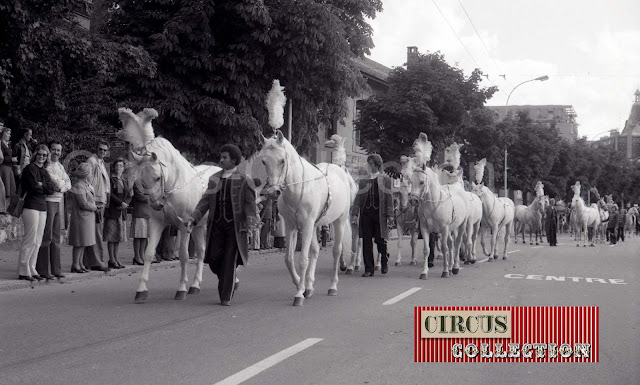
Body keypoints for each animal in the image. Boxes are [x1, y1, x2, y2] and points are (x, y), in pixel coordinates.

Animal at [117, 107, 220, 300]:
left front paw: (181, 289)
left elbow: (184, 255)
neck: (174, 187)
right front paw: (141, 290)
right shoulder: (158, 223)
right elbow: (149, 253)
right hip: (199, 226)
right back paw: (195, 285)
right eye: (141, 181)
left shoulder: (184, 226)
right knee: (201, 251)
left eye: (158, 177)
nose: (157, 205)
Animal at [258, 130, 356, 304]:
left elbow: (303, 259)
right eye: (264, 161)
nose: (273, 192)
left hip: (339, 221)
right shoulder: (292, 226)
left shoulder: (307, 224)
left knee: (337, 251)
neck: (298, 187)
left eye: (282, 161)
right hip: (315, 226)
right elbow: (289, 259)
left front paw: (298, 294)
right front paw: (300, 285)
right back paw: (309, 286)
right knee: (315, 250)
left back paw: (332, 286)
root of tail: (339, 169)